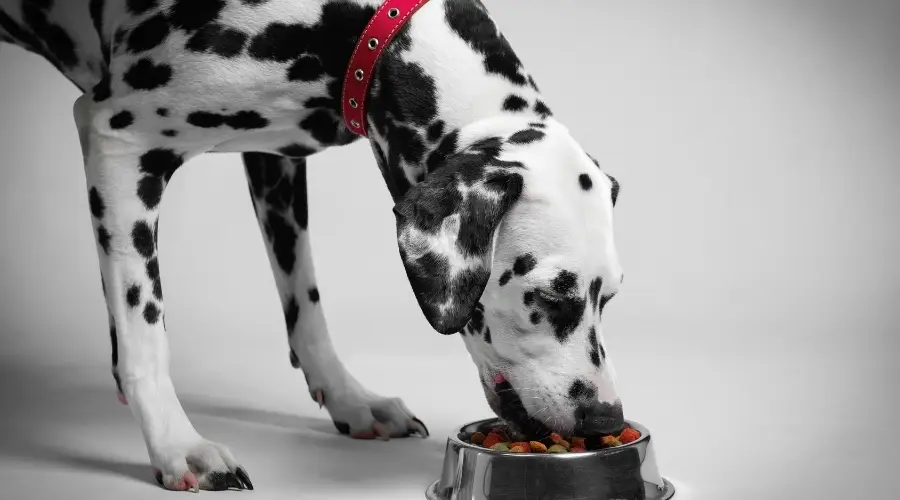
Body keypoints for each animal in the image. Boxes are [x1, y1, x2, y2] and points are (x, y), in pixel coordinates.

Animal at [1, 0, 624, 492]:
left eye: (611, 298)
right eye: (549, 297)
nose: (605, 418)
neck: (351, 26)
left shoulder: (274, 159)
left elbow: (306, 304)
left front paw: (350, 398)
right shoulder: (119, 141)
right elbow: (143, 330)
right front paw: (177, 445)